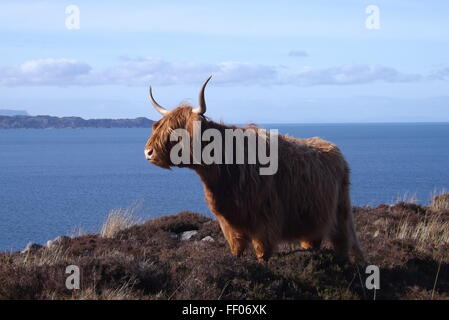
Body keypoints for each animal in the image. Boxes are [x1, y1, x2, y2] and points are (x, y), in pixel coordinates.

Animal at [144, 77, 364, 262]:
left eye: (175, 131)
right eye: (158, 126)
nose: (148, 151)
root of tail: (332, 147)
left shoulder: (265, 221)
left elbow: (262, 252)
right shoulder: (229, 222)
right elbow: (237, 249)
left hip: (341, 210)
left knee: (342, 241)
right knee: (312, 240)